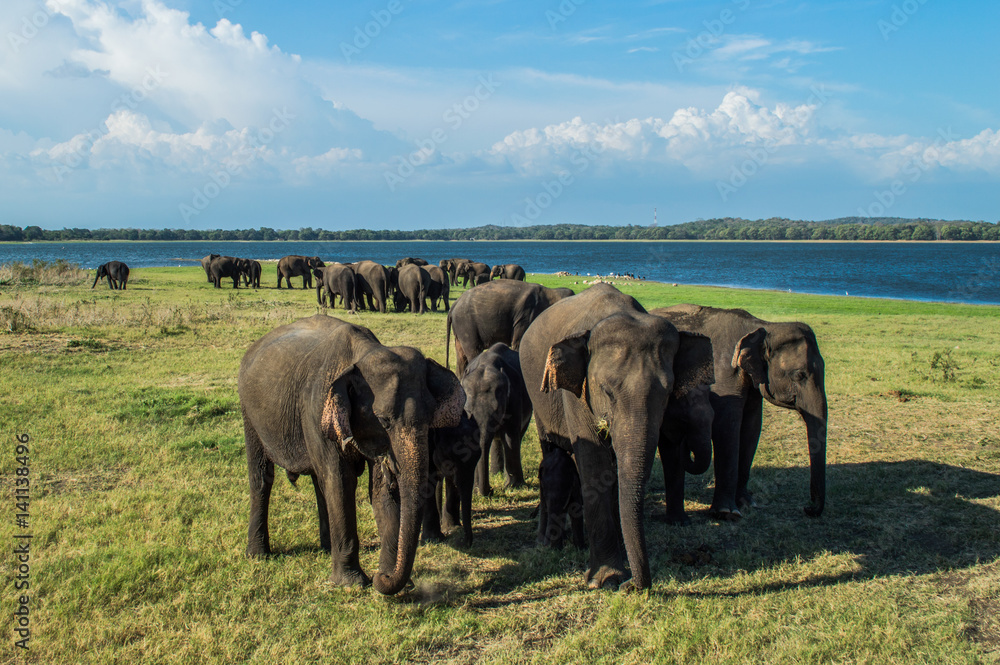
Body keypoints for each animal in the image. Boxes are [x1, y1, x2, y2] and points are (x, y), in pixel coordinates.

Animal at [238, 315, 465, 595]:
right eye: (384, 420)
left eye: (431, 416)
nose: (382, 577)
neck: (364, 353)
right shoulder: (317, 413)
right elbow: (341, 482)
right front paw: (353, 583)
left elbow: (379, 490)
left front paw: (391, 580)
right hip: (249, 413)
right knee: (262, 477)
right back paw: (258, 554)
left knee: (319, 482)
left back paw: (326, 548)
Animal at [445, 280, 576, 375]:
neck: (552, 292)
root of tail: (453, 306)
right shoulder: (525, 316)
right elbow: (519, 344)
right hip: (466, 325)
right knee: (473, 351)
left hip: (460, 329)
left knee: (461, 357)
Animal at [461, 343, 532, 496]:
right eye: (468, 412)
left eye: (497, 411)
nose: (490, 490)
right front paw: (475, 490)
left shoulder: (515, 397)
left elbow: (510, 436)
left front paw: (514, 487)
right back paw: (495, 473)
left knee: (517, 436)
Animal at [519, 283, 715, 591]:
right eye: (607, 391)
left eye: (667, 393)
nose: (633, 586)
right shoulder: (576, 395)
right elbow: (594, 464)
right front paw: (607, 579)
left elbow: (613, 474)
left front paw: (618, 565)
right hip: (538, 398)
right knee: (551, 454)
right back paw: (548, 543)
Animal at [650, 304, 827, 520]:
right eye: (799, 375)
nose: (807, 508)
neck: (762, 326)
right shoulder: (724, 377)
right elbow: (727, 428)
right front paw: (726, 513)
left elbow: (752, 428)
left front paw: (747, 503)